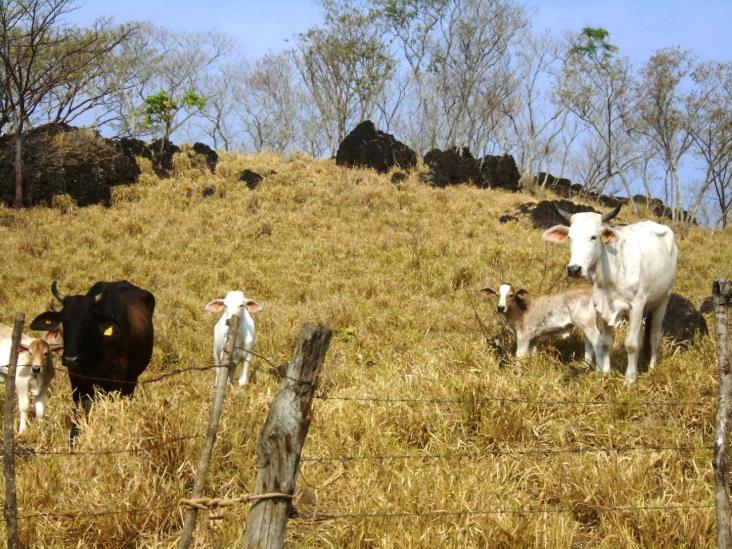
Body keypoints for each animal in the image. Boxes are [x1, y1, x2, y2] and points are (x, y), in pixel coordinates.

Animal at [30, 280, 155, 418]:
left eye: (88, 321)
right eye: (63, 320)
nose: (70, 359)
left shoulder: (117, 377)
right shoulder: (77, 377)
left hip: (132, 378)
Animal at [540, 202, 676, 386]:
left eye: (593, 237)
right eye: (570, 237)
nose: (574, 269)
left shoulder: (636, 306)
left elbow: (631, 344)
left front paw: (629, 380)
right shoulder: (602, 308)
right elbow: (605, 343)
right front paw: (604, 374)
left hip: (662, 300)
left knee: (654, 336)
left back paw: (651, 370)